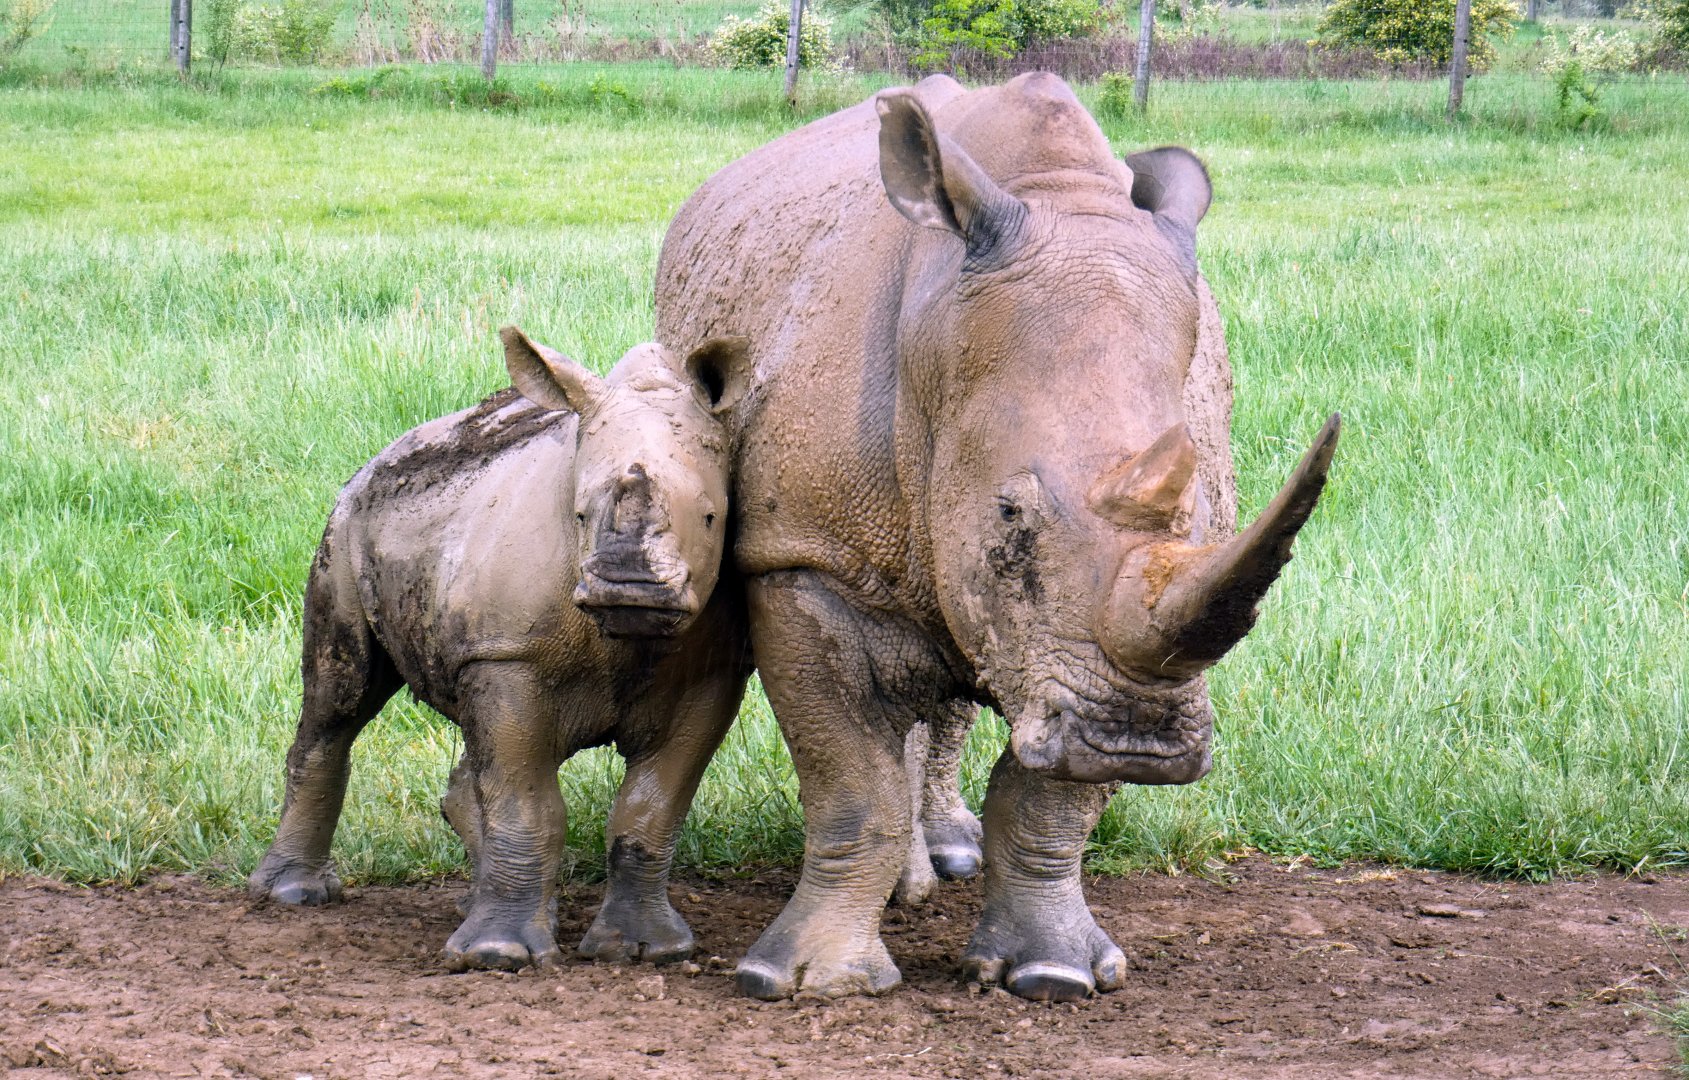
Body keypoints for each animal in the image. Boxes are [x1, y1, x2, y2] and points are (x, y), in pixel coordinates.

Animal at [249, 327, 754, 972]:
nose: (628, 589)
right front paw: (497, 956)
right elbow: (526, 803)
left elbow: (651, 808)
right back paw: (294, 894)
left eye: (712, 518)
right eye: (580, 516)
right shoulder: (507, 655)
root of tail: (381, 455)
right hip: (345, 526)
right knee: (340, 698)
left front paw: (644, 950)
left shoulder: (712, 674)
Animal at [655, 73, 1338, 1002]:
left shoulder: (1089, 647)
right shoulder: (802, 555)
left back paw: (948, 858)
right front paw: (806, 982)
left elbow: (1047, 797)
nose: (1141, 743)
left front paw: (1053, 974)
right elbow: (851, 781)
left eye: (1205, 518)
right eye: (1010, 517)